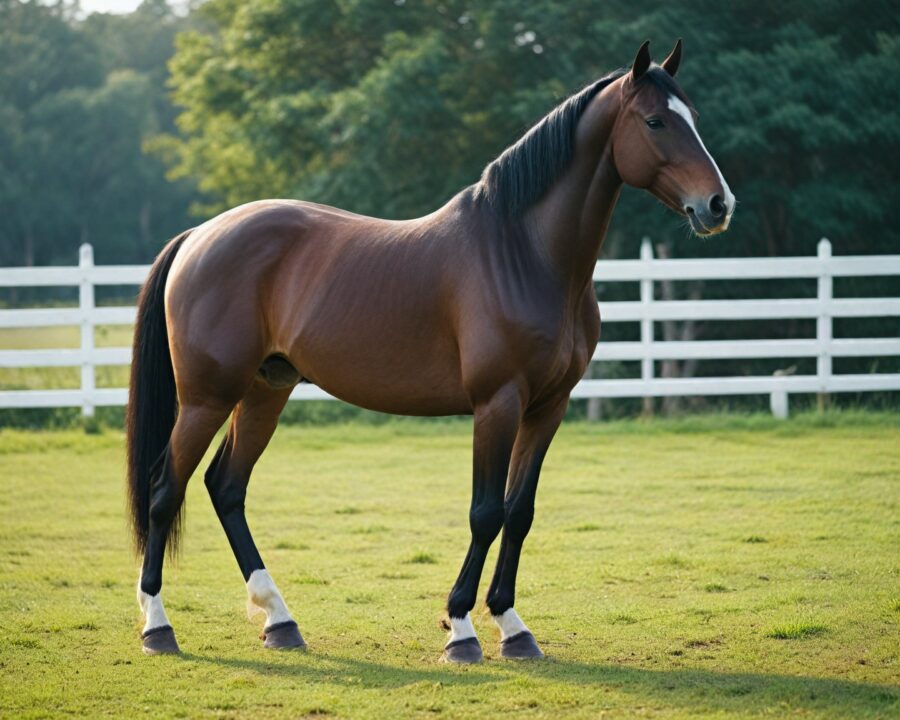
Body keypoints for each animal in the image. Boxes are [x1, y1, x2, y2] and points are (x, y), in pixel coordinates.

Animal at [127, 39, 734, 663]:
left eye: (692, 118)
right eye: (655, 121)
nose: (718, 204)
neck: (524, 253)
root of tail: (198, 236)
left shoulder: (548, 407)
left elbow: (520, 512)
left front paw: (513, 626)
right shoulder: (497, 404)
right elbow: (486, 513)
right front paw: (461, 627)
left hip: (264, 391)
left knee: (226, 488)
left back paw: (280, 620)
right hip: (207, 398)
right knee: (165, 490)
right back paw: (158, 626)